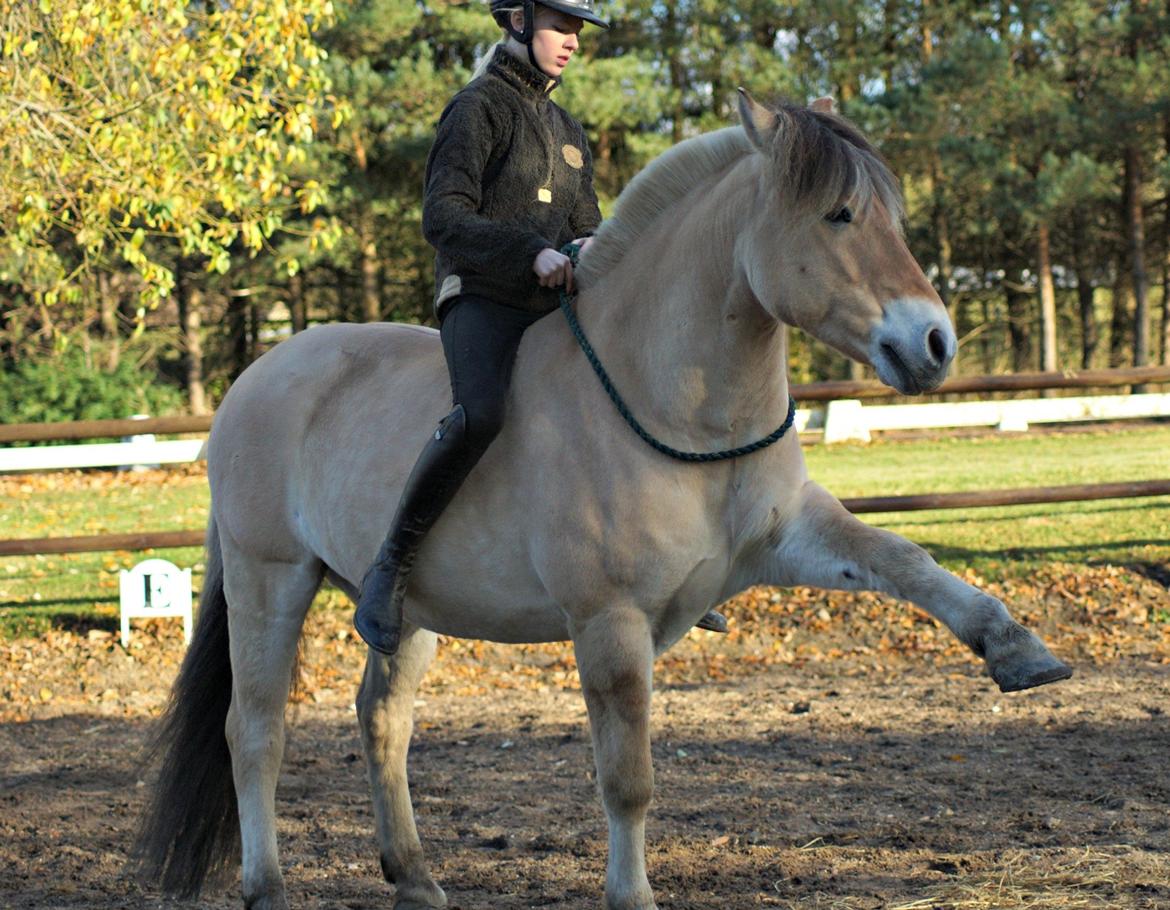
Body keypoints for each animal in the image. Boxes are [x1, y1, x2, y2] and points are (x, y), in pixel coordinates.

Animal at [132, 94, 1071, 907]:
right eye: (839, 214)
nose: (934, 342)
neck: (670, 401)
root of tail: (254, 381)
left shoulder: (787, 538)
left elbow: (905, 561)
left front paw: (1017, 649)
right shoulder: (610, 623)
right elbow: (627, 781)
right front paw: (632, 894)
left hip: (405, 612)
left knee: (381, 722)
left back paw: (417, 878)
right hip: (270, 581)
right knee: (254, 732)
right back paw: (268, 886)